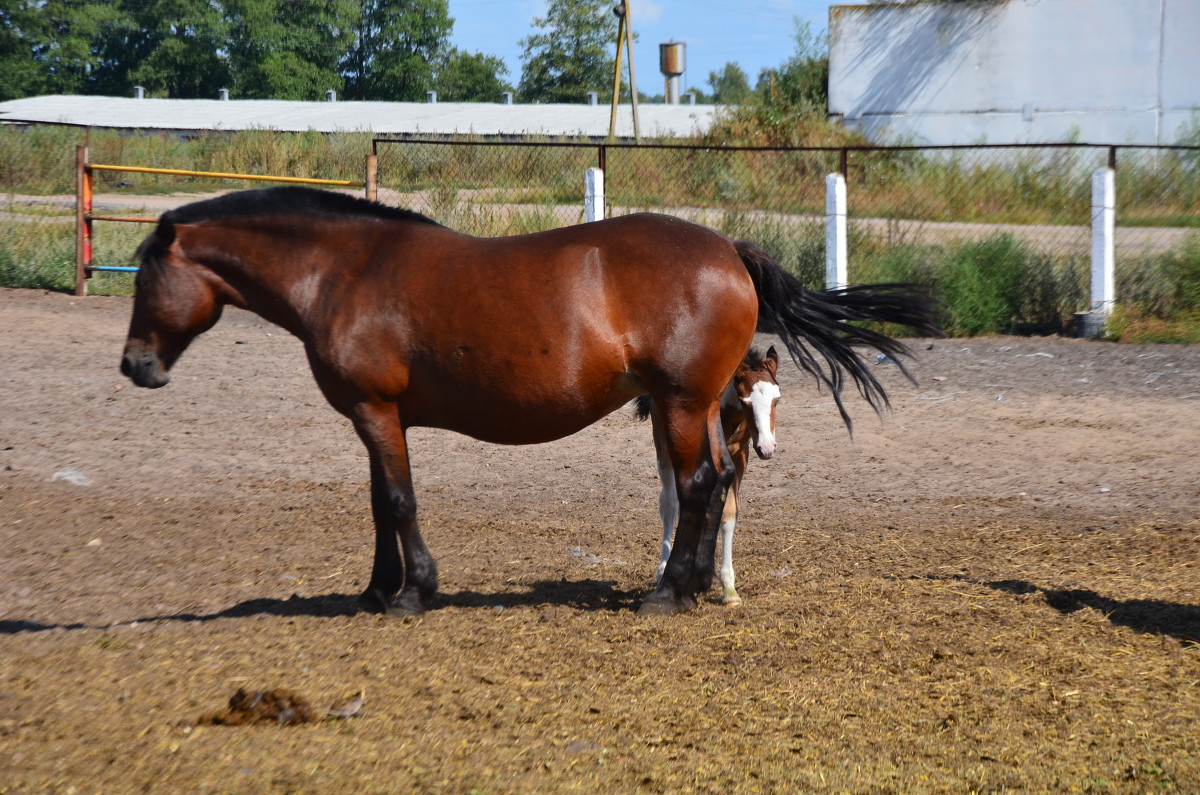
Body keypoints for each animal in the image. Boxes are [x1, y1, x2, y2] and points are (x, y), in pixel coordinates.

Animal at [121, 187, 940, 614]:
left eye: (144, 274)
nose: (135, 365)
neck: (345, 272)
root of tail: (729, 252)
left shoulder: (376, 412)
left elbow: (399, 500)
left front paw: (413, 592)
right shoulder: (373, 417)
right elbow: (379, 501)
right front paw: (378, 588)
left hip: (680, 403)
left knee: (699, 485)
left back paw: (668, 594)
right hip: (703, 404)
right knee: (715, 485)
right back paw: (699, 585)